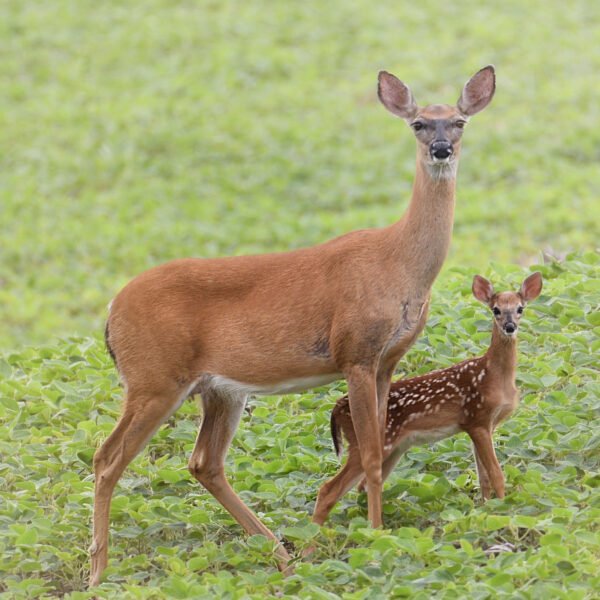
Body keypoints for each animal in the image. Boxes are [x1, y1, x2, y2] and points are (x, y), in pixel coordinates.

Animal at [88, 67, 492, 584]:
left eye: (459, 121)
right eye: (419, 123)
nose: (441, 149)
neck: (398, 262)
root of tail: (111, 312)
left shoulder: (386, 361)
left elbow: (374, 447)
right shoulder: (355, 352)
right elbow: (373, 454)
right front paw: (377, 540)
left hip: (218, 390)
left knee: (204, 463)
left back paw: (281, 554)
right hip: (154, 379)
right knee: (107, 458)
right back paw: (98, 573)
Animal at [312, 272, 540, 524]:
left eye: (520, 308)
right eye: (496, 309)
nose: (510, 327)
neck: (494, 375)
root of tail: (337, 407)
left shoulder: (485, 426)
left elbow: (484, 478)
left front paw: (486, 511)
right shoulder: (476, 417)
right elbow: (497, 475)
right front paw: (503, 511)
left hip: (394, 448)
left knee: (360, 486)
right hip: (368, 441)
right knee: (328, 489)